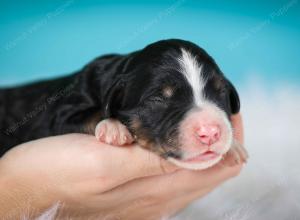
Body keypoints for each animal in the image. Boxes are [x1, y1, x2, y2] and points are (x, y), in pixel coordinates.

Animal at [0, 39, 247, 169]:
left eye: (220, 92)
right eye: (158, 99)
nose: (211, 132)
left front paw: (233, 146)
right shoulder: (59, 116)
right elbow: (93, 112)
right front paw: (113, 126)